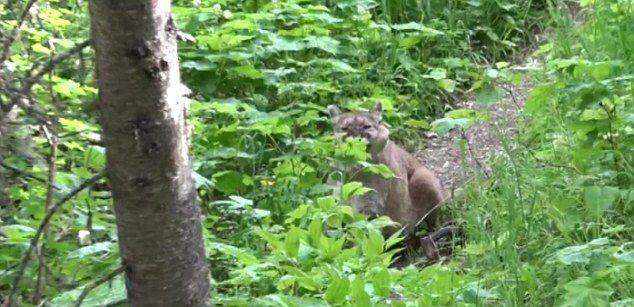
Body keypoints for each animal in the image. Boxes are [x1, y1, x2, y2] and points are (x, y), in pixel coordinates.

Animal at [328, 103, 442, 236]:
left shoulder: (370, 206)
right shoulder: (336, 202)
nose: (356, 139)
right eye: (344, 128)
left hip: (423, 178)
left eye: (367, 126)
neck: (354, 171)